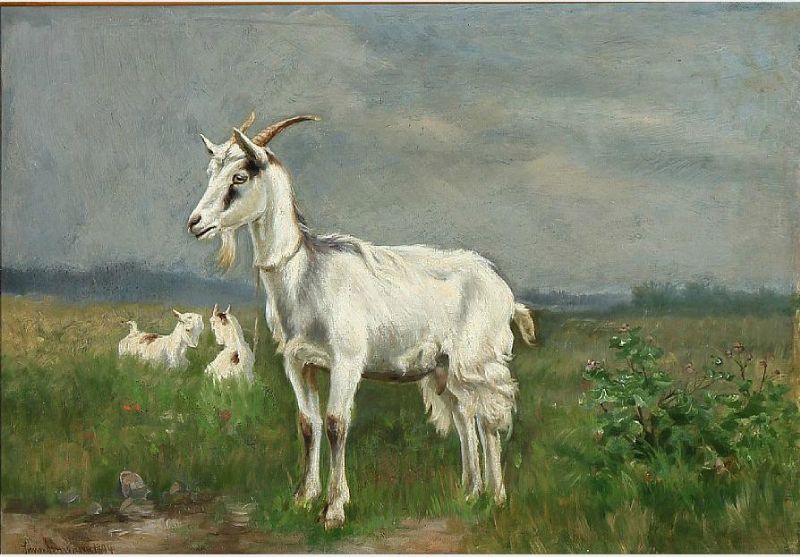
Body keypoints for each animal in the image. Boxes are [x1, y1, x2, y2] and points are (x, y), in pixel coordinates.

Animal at [187, 112, 536, 529]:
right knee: (466, 419)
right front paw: (304, 499)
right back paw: (470, 493)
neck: (306, 274)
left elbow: (336, 422)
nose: (196, 222)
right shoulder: (297, 362)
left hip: (478, 360)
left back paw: (496, 498)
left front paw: (334, 510)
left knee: (489, 419)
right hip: (446, 368)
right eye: (211, 171)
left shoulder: (347, 361)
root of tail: (504, 291)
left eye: (240, 177)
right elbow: (308, 424)